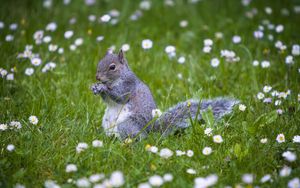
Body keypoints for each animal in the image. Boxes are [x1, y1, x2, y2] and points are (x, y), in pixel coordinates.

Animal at [91, 49, 239, 140]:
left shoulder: (128, 85)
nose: (97, 77)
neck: (118, 78)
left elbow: (120, 96)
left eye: (112, 67)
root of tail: (150, 131)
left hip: (126, 125)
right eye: (99, 62)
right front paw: (95, 87)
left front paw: (103, 87)